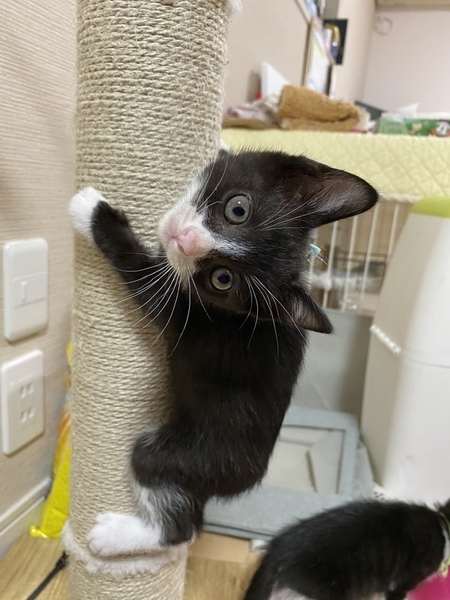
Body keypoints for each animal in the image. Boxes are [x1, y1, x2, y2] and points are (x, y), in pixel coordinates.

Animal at [69, 148, 378, 559]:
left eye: (221, 278)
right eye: (237, 209)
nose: (185, 240)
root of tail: (244, 481)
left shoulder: (185, 310)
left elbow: (140, 275)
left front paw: (90, 209)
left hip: (187, 457)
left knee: (177, 519)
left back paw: (115, 537)